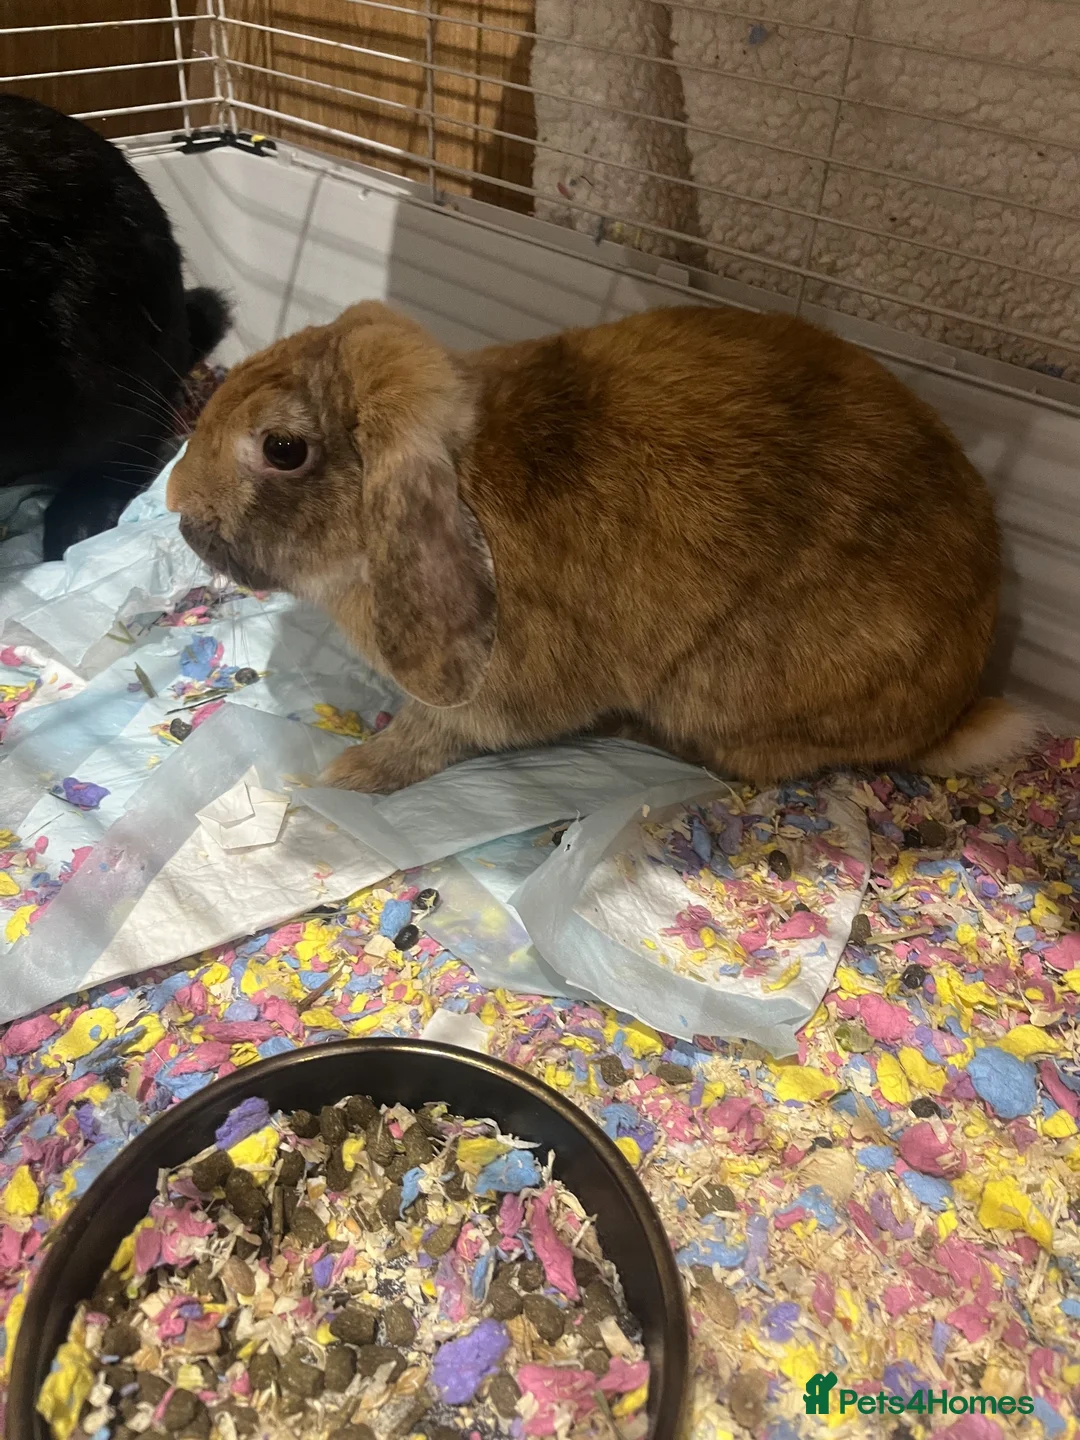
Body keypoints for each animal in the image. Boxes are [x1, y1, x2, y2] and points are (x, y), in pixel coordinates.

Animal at [166, 300, 1039, 793]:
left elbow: (437, 734)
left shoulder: (494, 698)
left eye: (282, 449)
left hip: (725, 693)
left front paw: (351, 776)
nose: (175, 502)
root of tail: (951, 711)